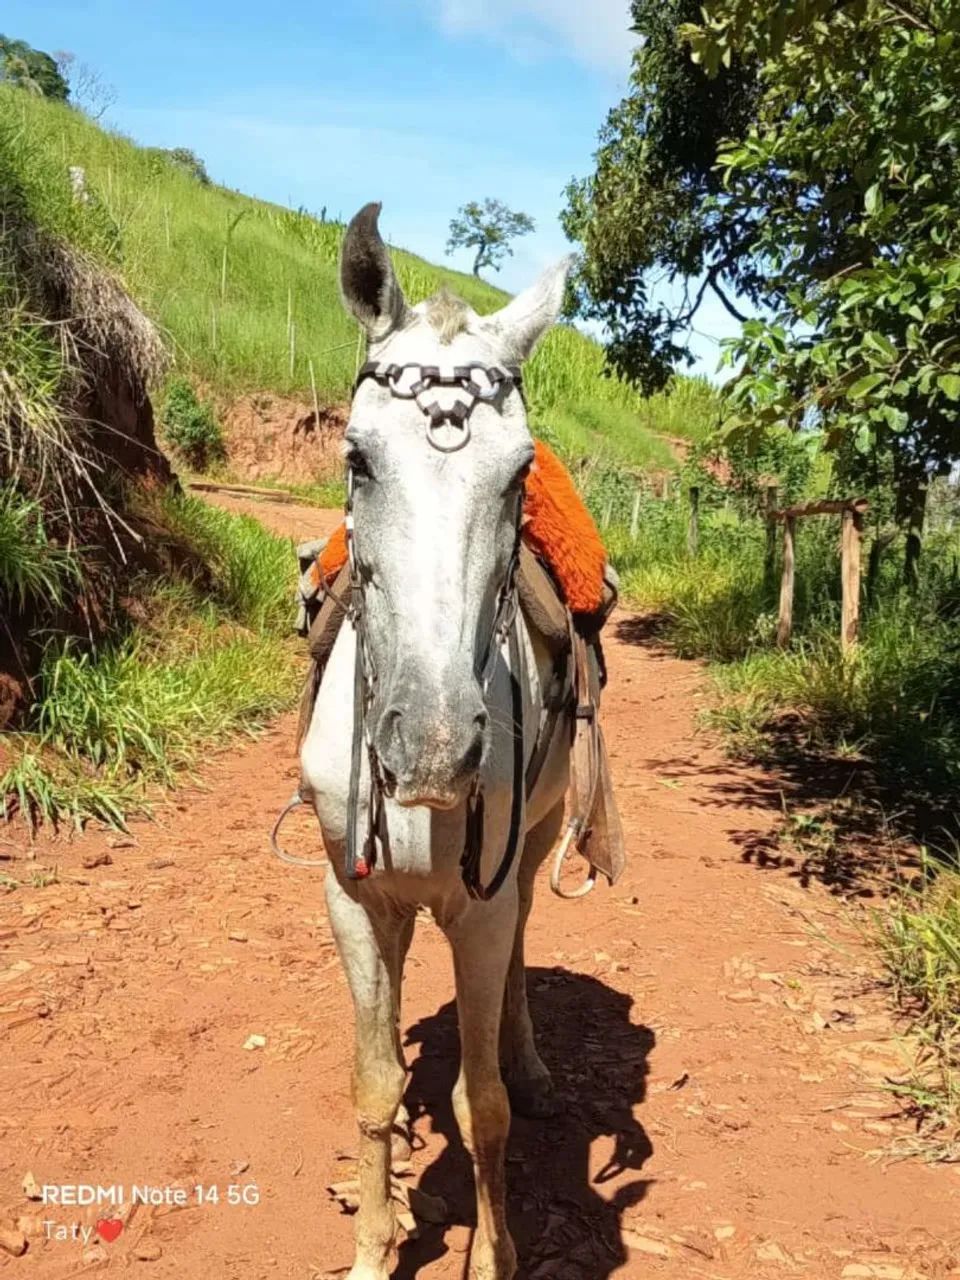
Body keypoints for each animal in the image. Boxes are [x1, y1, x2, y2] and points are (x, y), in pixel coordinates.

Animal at [300, 201, 577, 1280]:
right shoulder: (352, 894)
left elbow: (484, 1106)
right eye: (358, 457)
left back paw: (533, 1059)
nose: (429, 744)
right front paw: (376, 1246)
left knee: (524, 946)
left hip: (534, 849)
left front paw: (492, 1252)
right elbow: (373, 1080)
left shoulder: (484, 908)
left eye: (520, 474)